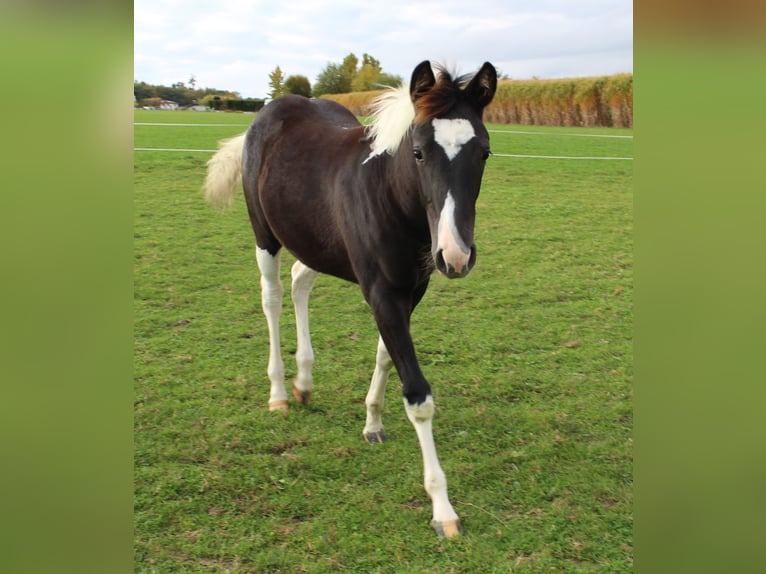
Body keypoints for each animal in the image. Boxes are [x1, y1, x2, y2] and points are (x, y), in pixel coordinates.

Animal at [204, 60, 497, 538]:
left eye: (484, 153)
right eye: (419, 152)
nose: (455, 256)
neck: (389, 195)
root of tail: (271, 110)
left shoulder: (409, 292)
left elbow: (384, 356)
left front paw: (372, 423)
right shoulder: (381, 292)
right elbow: (418, 395)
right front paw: (443, 509)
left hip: (316, 242)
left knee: (300, 280)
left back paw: (304, 383)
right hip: (265, 235)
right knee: (272, 297)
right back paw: (280, 392)